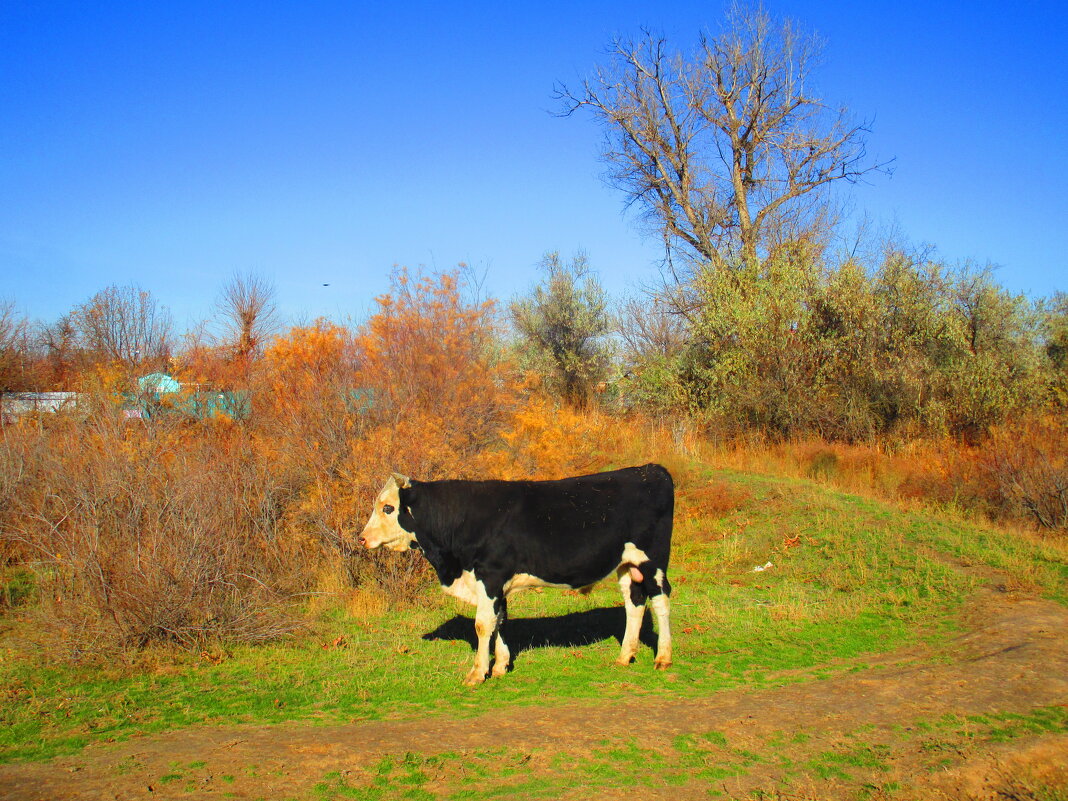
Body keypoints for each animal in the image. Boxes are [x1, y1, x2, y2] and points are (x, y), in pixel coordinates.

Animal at [358, 467, 674, 687]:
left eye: (387, 507)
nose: (361, 538)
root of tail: (650, 469)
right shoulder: (495, 583)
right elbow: (499, 621)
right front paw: (500, 666)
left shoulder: (490, 575)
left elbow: (482, 625)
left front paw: (478, 673)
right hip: (627, 565)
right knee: (634, 603)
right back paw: (625, 656)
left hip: (653, 562)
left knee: (660, 601)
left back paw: (663, 657)